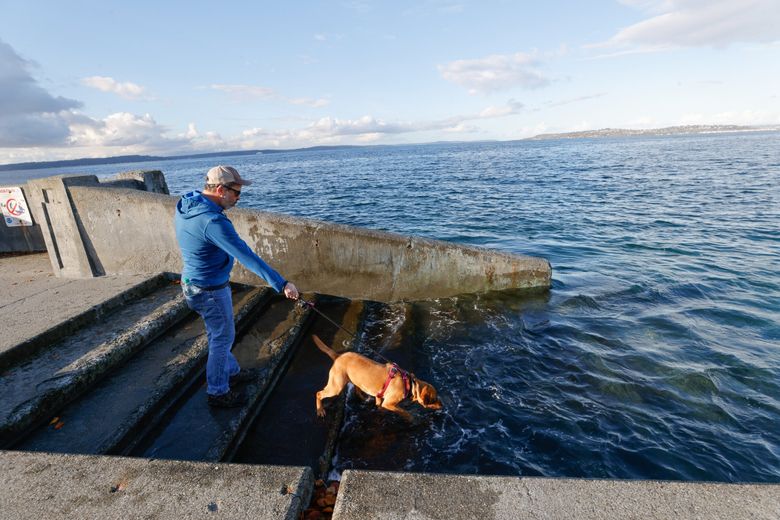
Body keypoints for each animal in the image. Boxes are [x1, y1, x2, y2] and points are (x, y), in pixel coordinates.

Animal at [314, 334, 442, 422]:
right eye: (434, 399)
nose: (442, 405)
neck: (410, 384)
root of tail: (338, 356)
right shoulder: (389, 403)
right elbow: (405, 413)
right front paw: (412, 419)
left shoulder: (379, 398)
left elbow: (380, 407)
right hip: (336, 387)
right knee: (319, 393)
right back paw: (320, 410)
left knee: (356, 388)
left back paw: (363, 397)